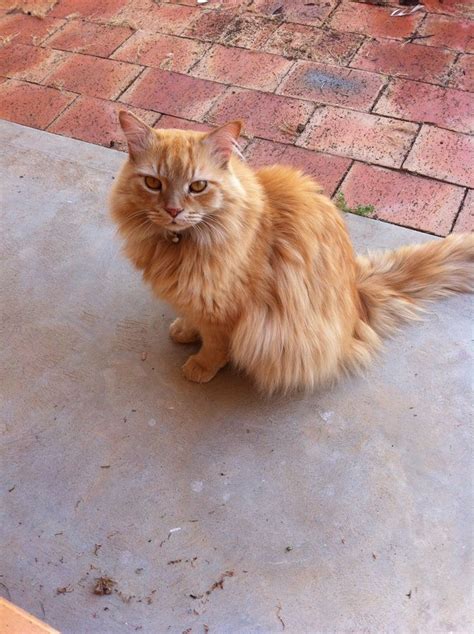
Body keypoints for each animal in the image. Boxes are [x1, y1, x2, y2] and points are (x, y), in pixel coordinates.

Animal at [109, 111, 472, 392]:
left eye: (197, 186)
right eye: (153, 184)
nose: (173, 211)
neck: (180, 246)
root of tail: (357, 293)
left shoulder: (225, 309)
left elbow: (215, 343)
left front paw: (200, 365)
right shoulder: (198, 297)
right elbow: (193, 319)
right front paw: (185, 329)